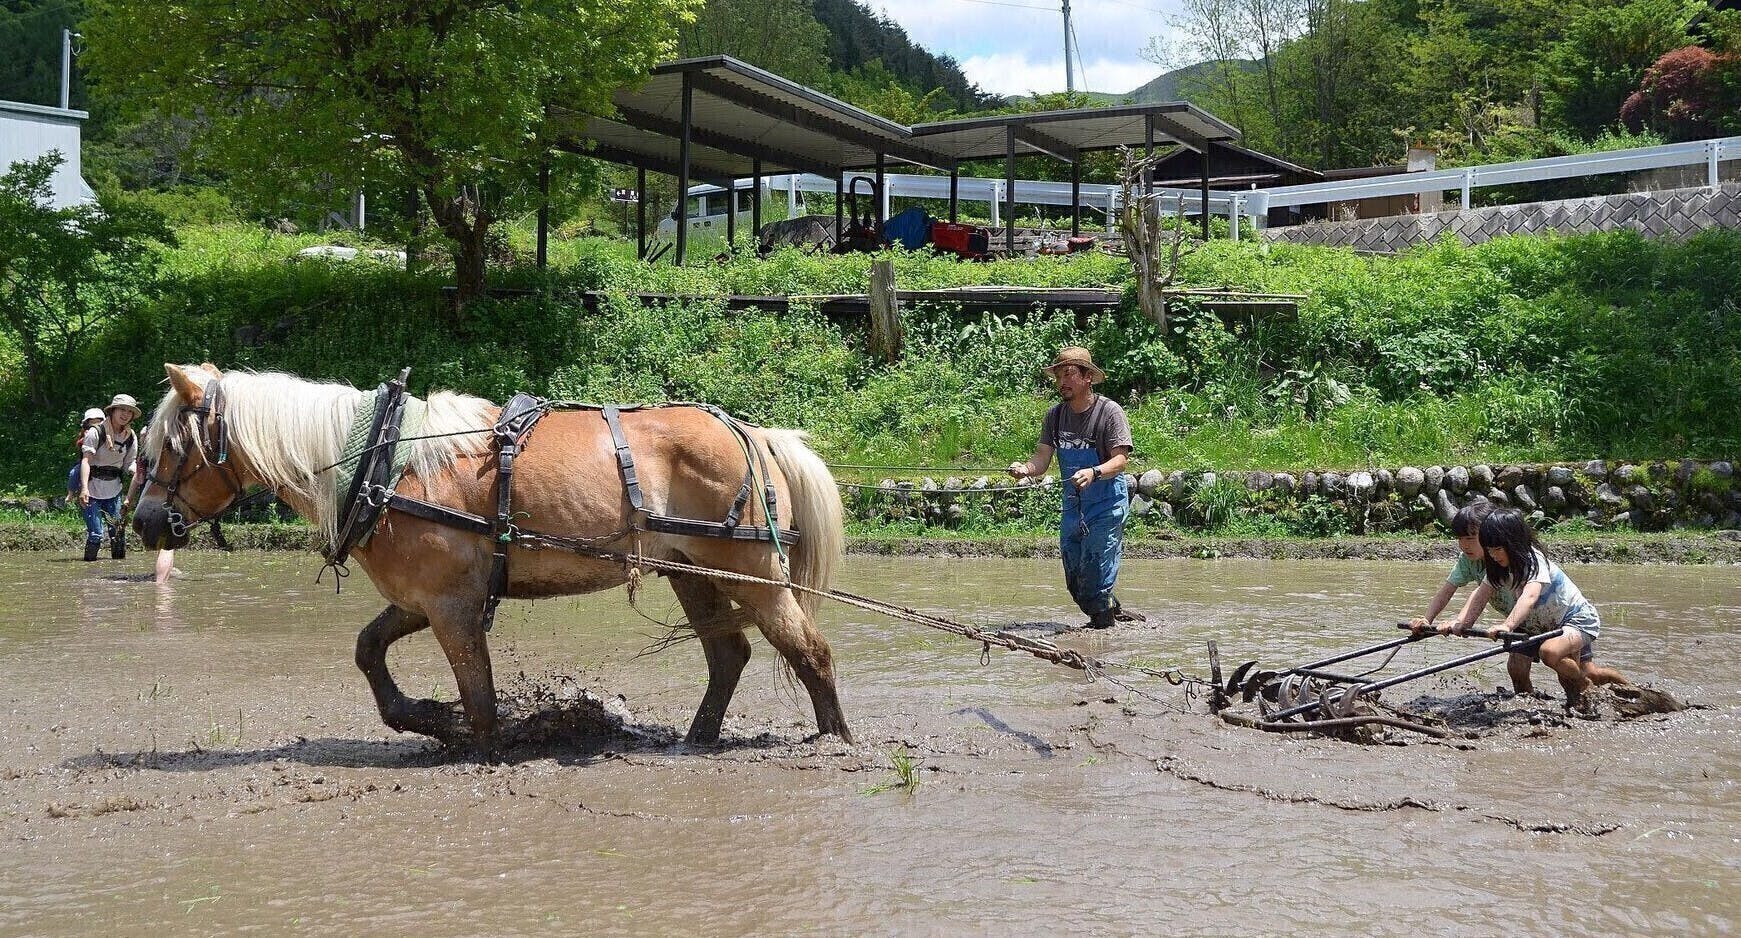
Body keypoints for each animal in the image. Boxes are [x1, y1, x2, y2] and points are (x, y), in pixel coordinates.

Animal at [130, 363, 849, 751]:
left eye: (170, 446)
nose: (143, 522)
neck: (385, 464)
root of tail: (751, 432)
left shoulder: (451, 605)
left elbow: (478, 700)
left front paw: (471, 739)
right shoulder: (425, 598)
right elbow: (368, 651)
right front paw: (424, 716)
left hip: (753, 571)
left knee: (809, 651)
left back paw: (835, 739)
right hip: (691, 573)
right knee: (729, 655)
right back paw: (697, 737)